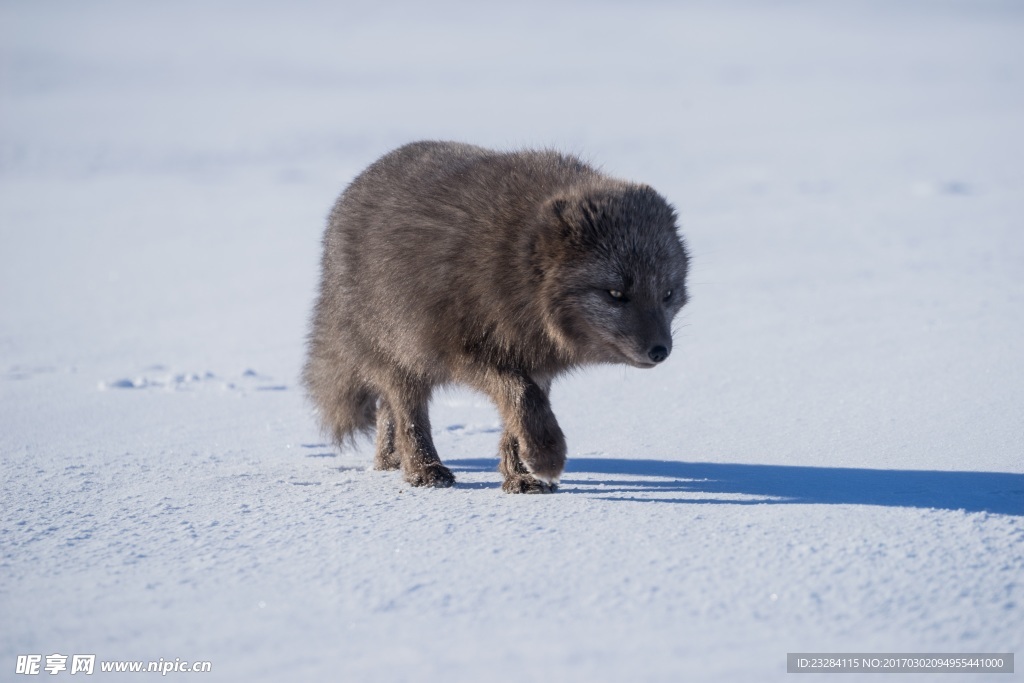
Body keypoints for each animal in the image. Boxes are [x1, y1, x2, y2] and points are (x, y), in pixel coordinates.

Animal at [301, 141, 688, 493]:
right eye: (616, 293)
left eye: (667, 294)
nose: (660, 351)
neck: (517, 264)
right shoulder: (467, 352)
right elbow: (521, 396)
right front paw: (546, 457)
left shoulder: (535, 360)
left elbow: (520, 414)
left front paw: (522, 476)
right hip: (400, 353)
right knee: (407, 411)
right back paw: (423, 470)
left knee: (387, 411)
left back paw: (388, 462)